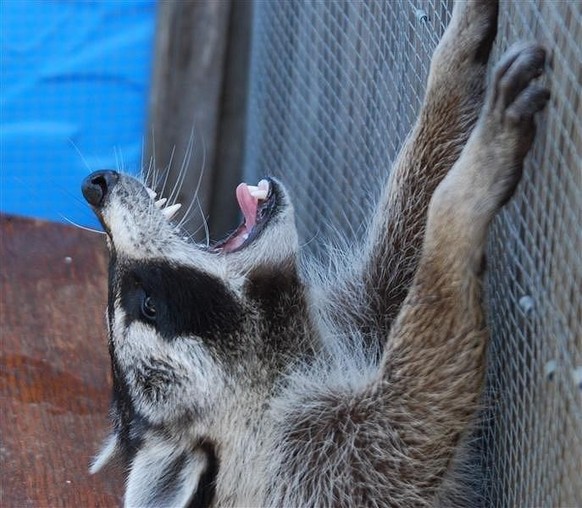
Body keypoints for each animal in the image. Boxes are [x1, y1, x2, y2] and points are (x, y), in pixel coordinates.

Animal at [83, 1, 552, 506]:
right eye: (148, 306)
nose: (94, 188)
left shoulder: (346, 323)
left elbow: (393, 265)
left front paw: (451, 67)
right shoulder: (314, 458)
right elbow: (420, 406)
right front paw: (464, 197)